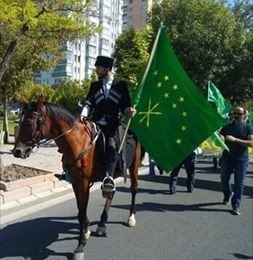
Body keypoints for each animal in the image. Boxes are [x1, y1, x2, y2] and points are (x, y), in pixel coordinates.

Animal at [12, 96, 143, 258]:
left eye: (30, 123)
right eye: (20, 122)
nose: (17, 151)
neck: (77, 143)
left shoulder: (84, 183)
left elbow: (82, 211)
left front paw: (80, 245)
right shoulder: (75, 182)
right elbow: (80, 211)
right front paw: (85, 232)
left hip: (134, 168)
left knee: (134, 189)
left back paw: (131, 218)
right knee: (110, 194)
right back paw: (101, 224)